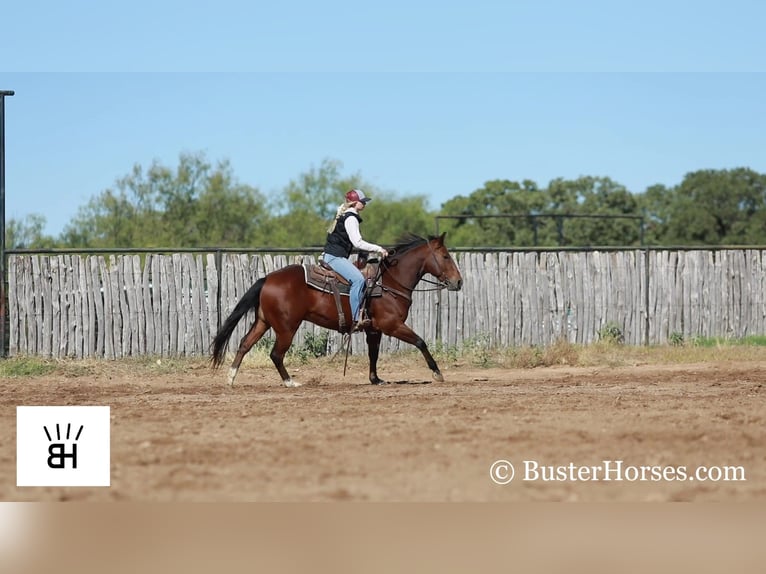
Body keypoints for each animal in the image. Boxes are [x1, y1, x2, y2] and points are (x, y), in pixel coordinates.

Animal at [210, 233, 462, 388]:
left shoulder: (374, 329)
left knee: (244, 344)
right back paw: (290, 382)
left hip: (263, 322)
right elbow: (420, 342)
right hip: (286, 328)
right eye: (445, 256)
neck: (389, 282)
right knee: (276, 354)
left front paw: (375, 379)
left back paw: (231, 379)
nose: (458, 282)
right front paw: (437, 373)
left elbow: (373, 354)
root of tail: (267, 278)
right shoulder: (392, 325)